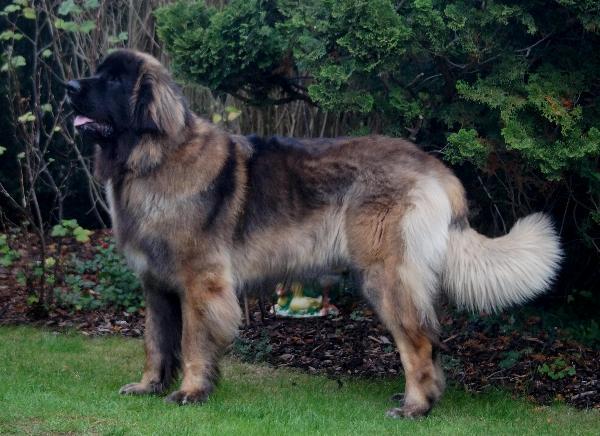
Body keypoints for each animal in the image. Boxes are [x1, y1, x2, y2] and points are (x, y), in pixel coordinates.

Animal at [66, 49, 562, 418]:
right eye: (98, 74)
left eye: (114, 81)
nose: (70, 88)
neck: (150, 157)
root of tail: (434, 167)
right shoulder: (156, 285)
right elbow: (155, 341)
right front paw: (148, 386)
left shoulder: (199, 283)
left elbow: (191, 342)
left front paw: (190, 392)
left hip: (384, 275)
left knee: (420, 340)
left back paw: (415, 407)